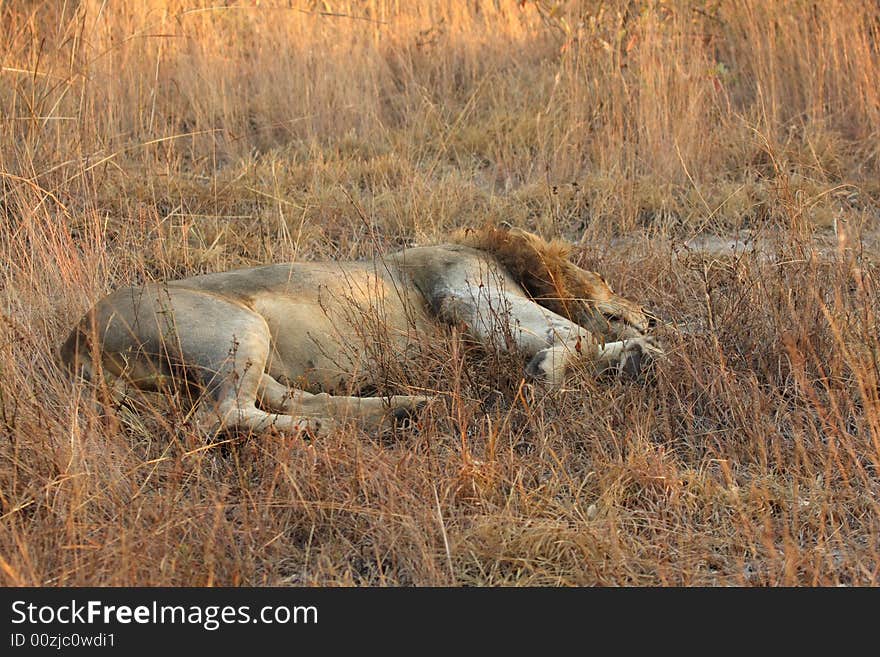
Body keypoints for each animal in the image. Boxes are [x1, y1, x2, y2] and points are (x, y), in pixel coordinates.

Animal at [60, 224, 660, 436]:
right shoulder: (466, 297)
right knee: (218, 417)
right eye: (606, 280)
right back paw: (329, 432)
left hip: (248, 346)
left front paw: (642, 352)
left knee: (274, 398)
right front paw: (555, 370)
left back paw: (404, 410)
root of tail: (73, 340)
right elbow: (581, 337)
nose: (652, 314)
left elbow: (591, 340)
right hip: (236, 325)